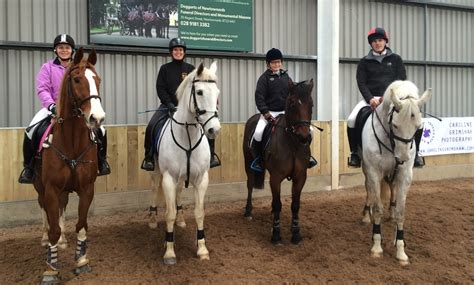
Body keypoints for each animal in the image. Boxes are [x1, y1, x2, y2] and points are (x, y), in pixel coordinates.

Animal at [33, 47, 106, 282]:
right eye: (76, 79)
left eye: (97, 80)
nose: (97, 118)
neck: (72, 141)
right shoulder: (51, 189)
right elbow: (54, 227)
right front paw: (51, 269)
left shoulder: (87, 188)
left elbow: (82, 225)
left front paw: (81, 260)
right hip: (40, 187)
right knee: (45, 210)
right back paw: (46, 239)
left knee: (62, 208)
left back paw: (63, 242)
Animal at [244, 79, 314, 243]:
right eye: (292, 104)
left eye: (311, 105)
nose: (304, 137)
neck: (292, 144)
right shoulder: (276, 177)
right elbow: (278, 204)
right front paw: (276, 234)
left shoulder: (300, 176)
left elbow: (295, 205)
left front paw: (296, 233)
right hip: (248, 162)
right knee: (250, 184)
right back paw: (248, 212)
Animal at [362, 80, 432, 264]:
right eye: (395, 125)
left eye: (418, 127)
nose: (402, 158)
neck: (391, 142)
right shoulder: (373, 172)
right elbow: (377, 208)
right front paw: (377, 246)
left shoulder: (404, 176)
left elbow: (401, 212)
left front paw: (400, 248)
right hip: (367, 170)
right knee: (368, 189)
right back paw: (366, 215)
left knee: (391, 188)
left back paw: (391, 214)